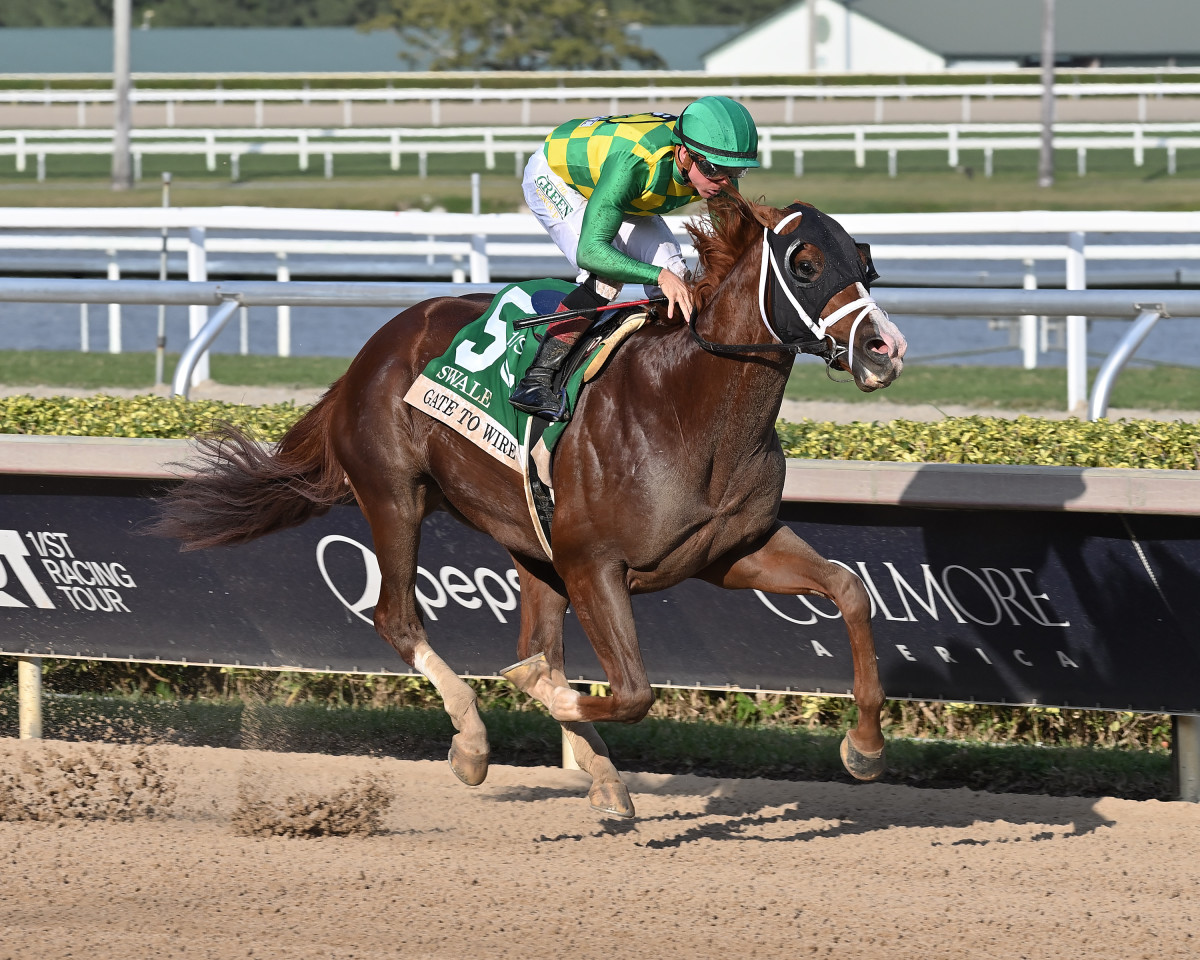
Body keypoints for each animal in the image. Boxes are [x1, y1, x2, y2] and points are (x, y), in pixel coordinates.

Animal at [157, 193, 907, 816]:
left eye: (865, 261)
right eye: (805, 264)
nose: (885, 348)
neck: (687, 406)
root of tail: (374, 348)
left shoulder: (730, 551)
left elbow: (849, 590)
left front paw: (865, 748)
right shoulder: (594, 564)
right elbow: (629, 692)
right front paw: (534, 695)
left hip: (527, 542)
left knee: (534, 641)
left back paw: (601, 777)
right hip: (395, 496)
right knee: (398, 618)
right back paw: (473, 744)